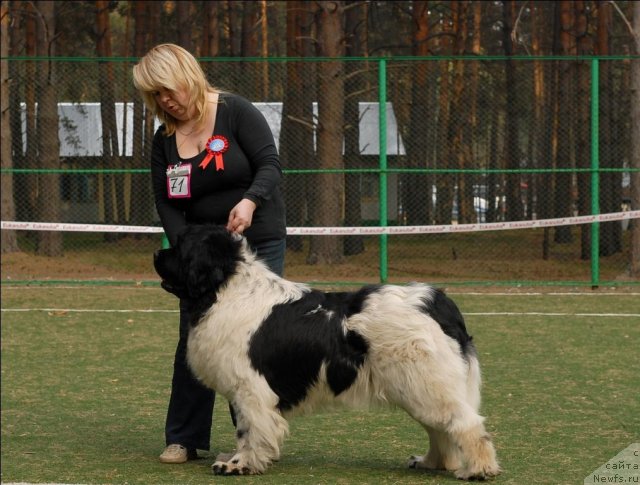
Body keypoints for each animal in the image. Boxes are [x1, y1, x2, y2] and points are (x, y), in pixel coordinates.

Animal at [155, 225, 500, 478]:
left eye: (181, 246)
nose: (157, 252)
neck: (226, 289)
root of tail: (437, 302)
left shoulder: (250, 388)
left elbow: (249, 428)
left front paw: (239, 464)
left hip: (424, 384)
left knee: (465, 424)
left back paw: (479, 470)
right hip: (418, 386)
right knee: (441, 428)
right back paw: (433, 462)